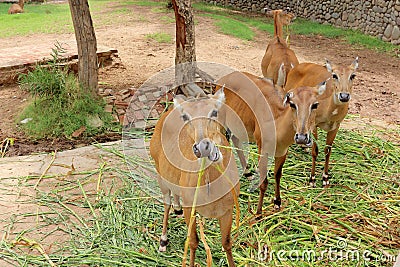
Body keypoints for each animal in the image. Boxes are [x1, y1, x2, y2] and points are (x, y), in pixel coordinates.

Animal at [148, 90, 239, 267]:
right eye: (185, 116)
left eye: (215, 111)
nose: (203, 147)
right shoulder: (190, 208)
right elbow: (193, 242)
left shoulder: (228, 209)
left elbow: (226, 242)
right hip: (159, 173)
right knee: (166, 203)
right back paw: (163, 240)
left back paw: (177, 208)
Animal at [216, 71, 324, 216]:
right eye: (292, 104)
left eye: (315, 104)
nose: (301, 137)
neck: (276, 121)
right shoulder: (263, 149)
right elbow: (264, 181)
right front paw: (258, 212)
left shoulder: (283, 151)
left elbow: (278, 175)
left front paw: (277, 202)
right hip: (222, 120)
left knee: (235, 141)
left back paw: (248, 173)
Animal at [284, 57, 360, 186]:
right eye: (334, 75)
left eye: (353, 75)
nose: (344, 96)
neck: (329, 112)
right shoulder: (314, 124)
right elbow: (315, 150)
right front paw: (312, 179)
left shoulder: (336, 126)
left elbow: (327, 150)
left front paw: (325, 178)